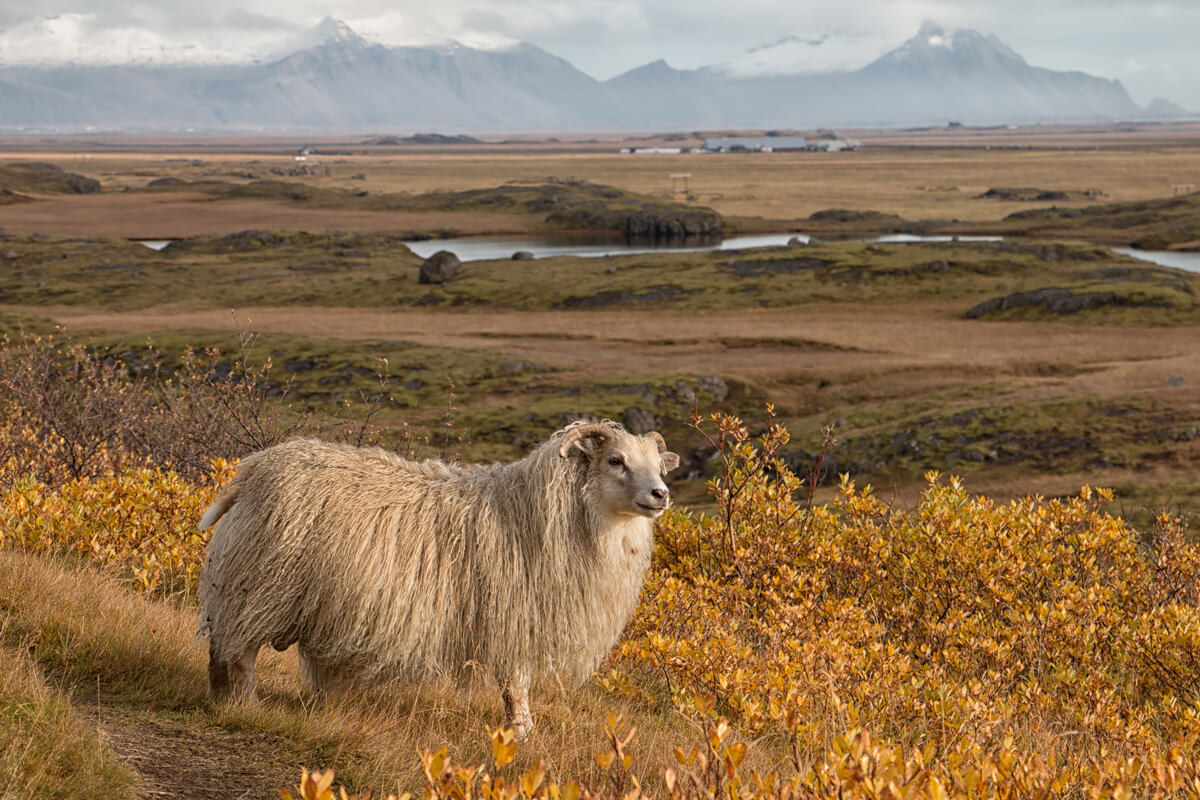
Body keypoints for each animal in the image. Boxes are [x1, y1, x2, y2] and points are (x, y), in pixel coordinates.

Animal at [201, 419, 681, 738]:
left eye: (659, 465)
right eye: (616, 460)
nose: (661, 495)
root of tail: (251, 472)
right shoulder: (512, 615)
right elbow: (516, 685)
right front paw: (521, 733)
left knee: (220, 651)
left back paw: (219, 698)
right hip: (260, 586)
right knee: (240, 652)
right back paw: (245, 705)